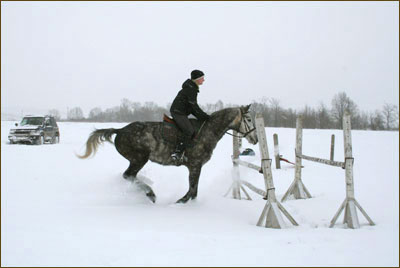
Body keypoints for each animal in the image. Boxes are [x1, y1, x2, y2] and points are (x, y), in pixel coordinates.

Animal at [77, 104, 258, 203]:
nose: (255, 139)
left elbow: (194, 190)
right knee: (128, 175)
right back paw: (151, 193)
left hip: (137, 159)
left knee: (130, 176)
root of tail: (120, 130)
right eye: (249, 119)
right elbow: (192, 189)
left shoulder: (196, 166)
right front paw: (180, 202)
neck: (208, 130)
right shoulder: (195, 165)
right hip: (139, 158)